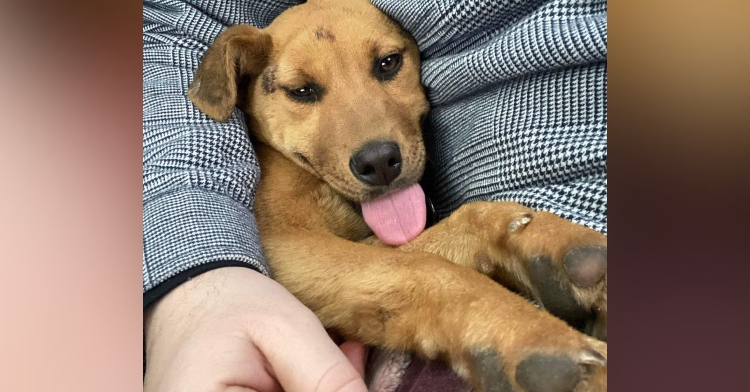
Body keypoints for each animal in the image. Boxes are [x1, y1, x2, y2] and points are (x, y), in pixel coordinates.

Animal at [188, 1, 612, 390]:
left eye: (388, 63)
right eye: (302, 91)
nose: (379, 162)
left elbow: (442, 236)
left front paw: (549, 243)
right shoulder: (285, 245)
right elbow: (420, 267)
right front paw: (531, 337)